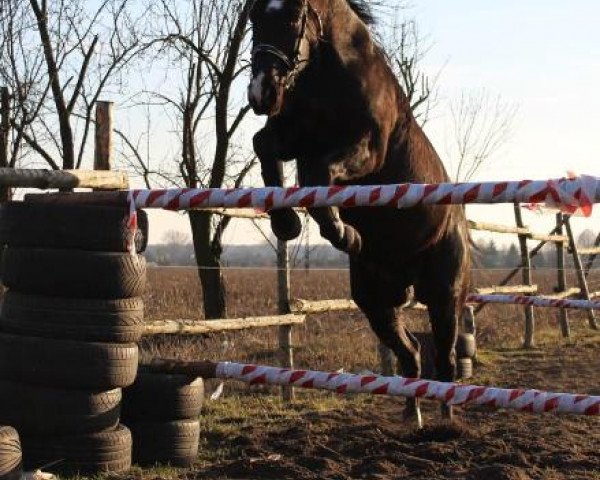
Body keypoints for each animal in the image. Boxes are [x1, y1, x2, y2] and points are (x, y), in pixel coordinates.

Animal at [246, 0, 472, 426]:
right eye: (253, 17)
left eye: (292, 17)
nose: (261, 94)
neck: (328, 76)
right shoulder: (292, 136)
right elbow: (264, 144)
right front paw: (287, 222)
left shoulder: (366, 148)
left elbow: (319, 175)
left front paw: (341, 232)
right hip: (376, 302)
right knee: (411, 353)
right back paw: (412, 415)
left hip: (443, 295)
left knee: (447, 360)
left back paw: (447, 420)